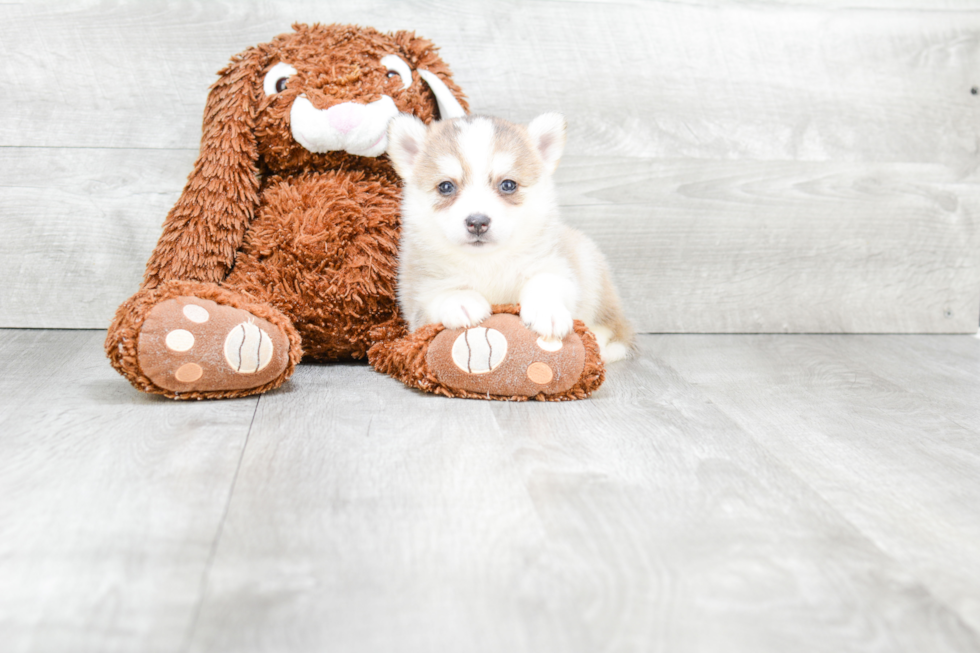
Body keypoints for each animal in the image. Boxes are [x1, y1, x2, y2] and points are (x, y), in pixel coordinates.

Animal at [382, 114, 636, 364]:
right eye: (445, 186)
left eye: (508, 185)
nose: (477, 222)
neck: (486, 263)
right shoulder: (415, 298)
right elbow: (437, 294)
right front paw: (460, 299)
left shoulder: (556, 266)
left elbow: (545, 282)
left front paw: (546, 310)